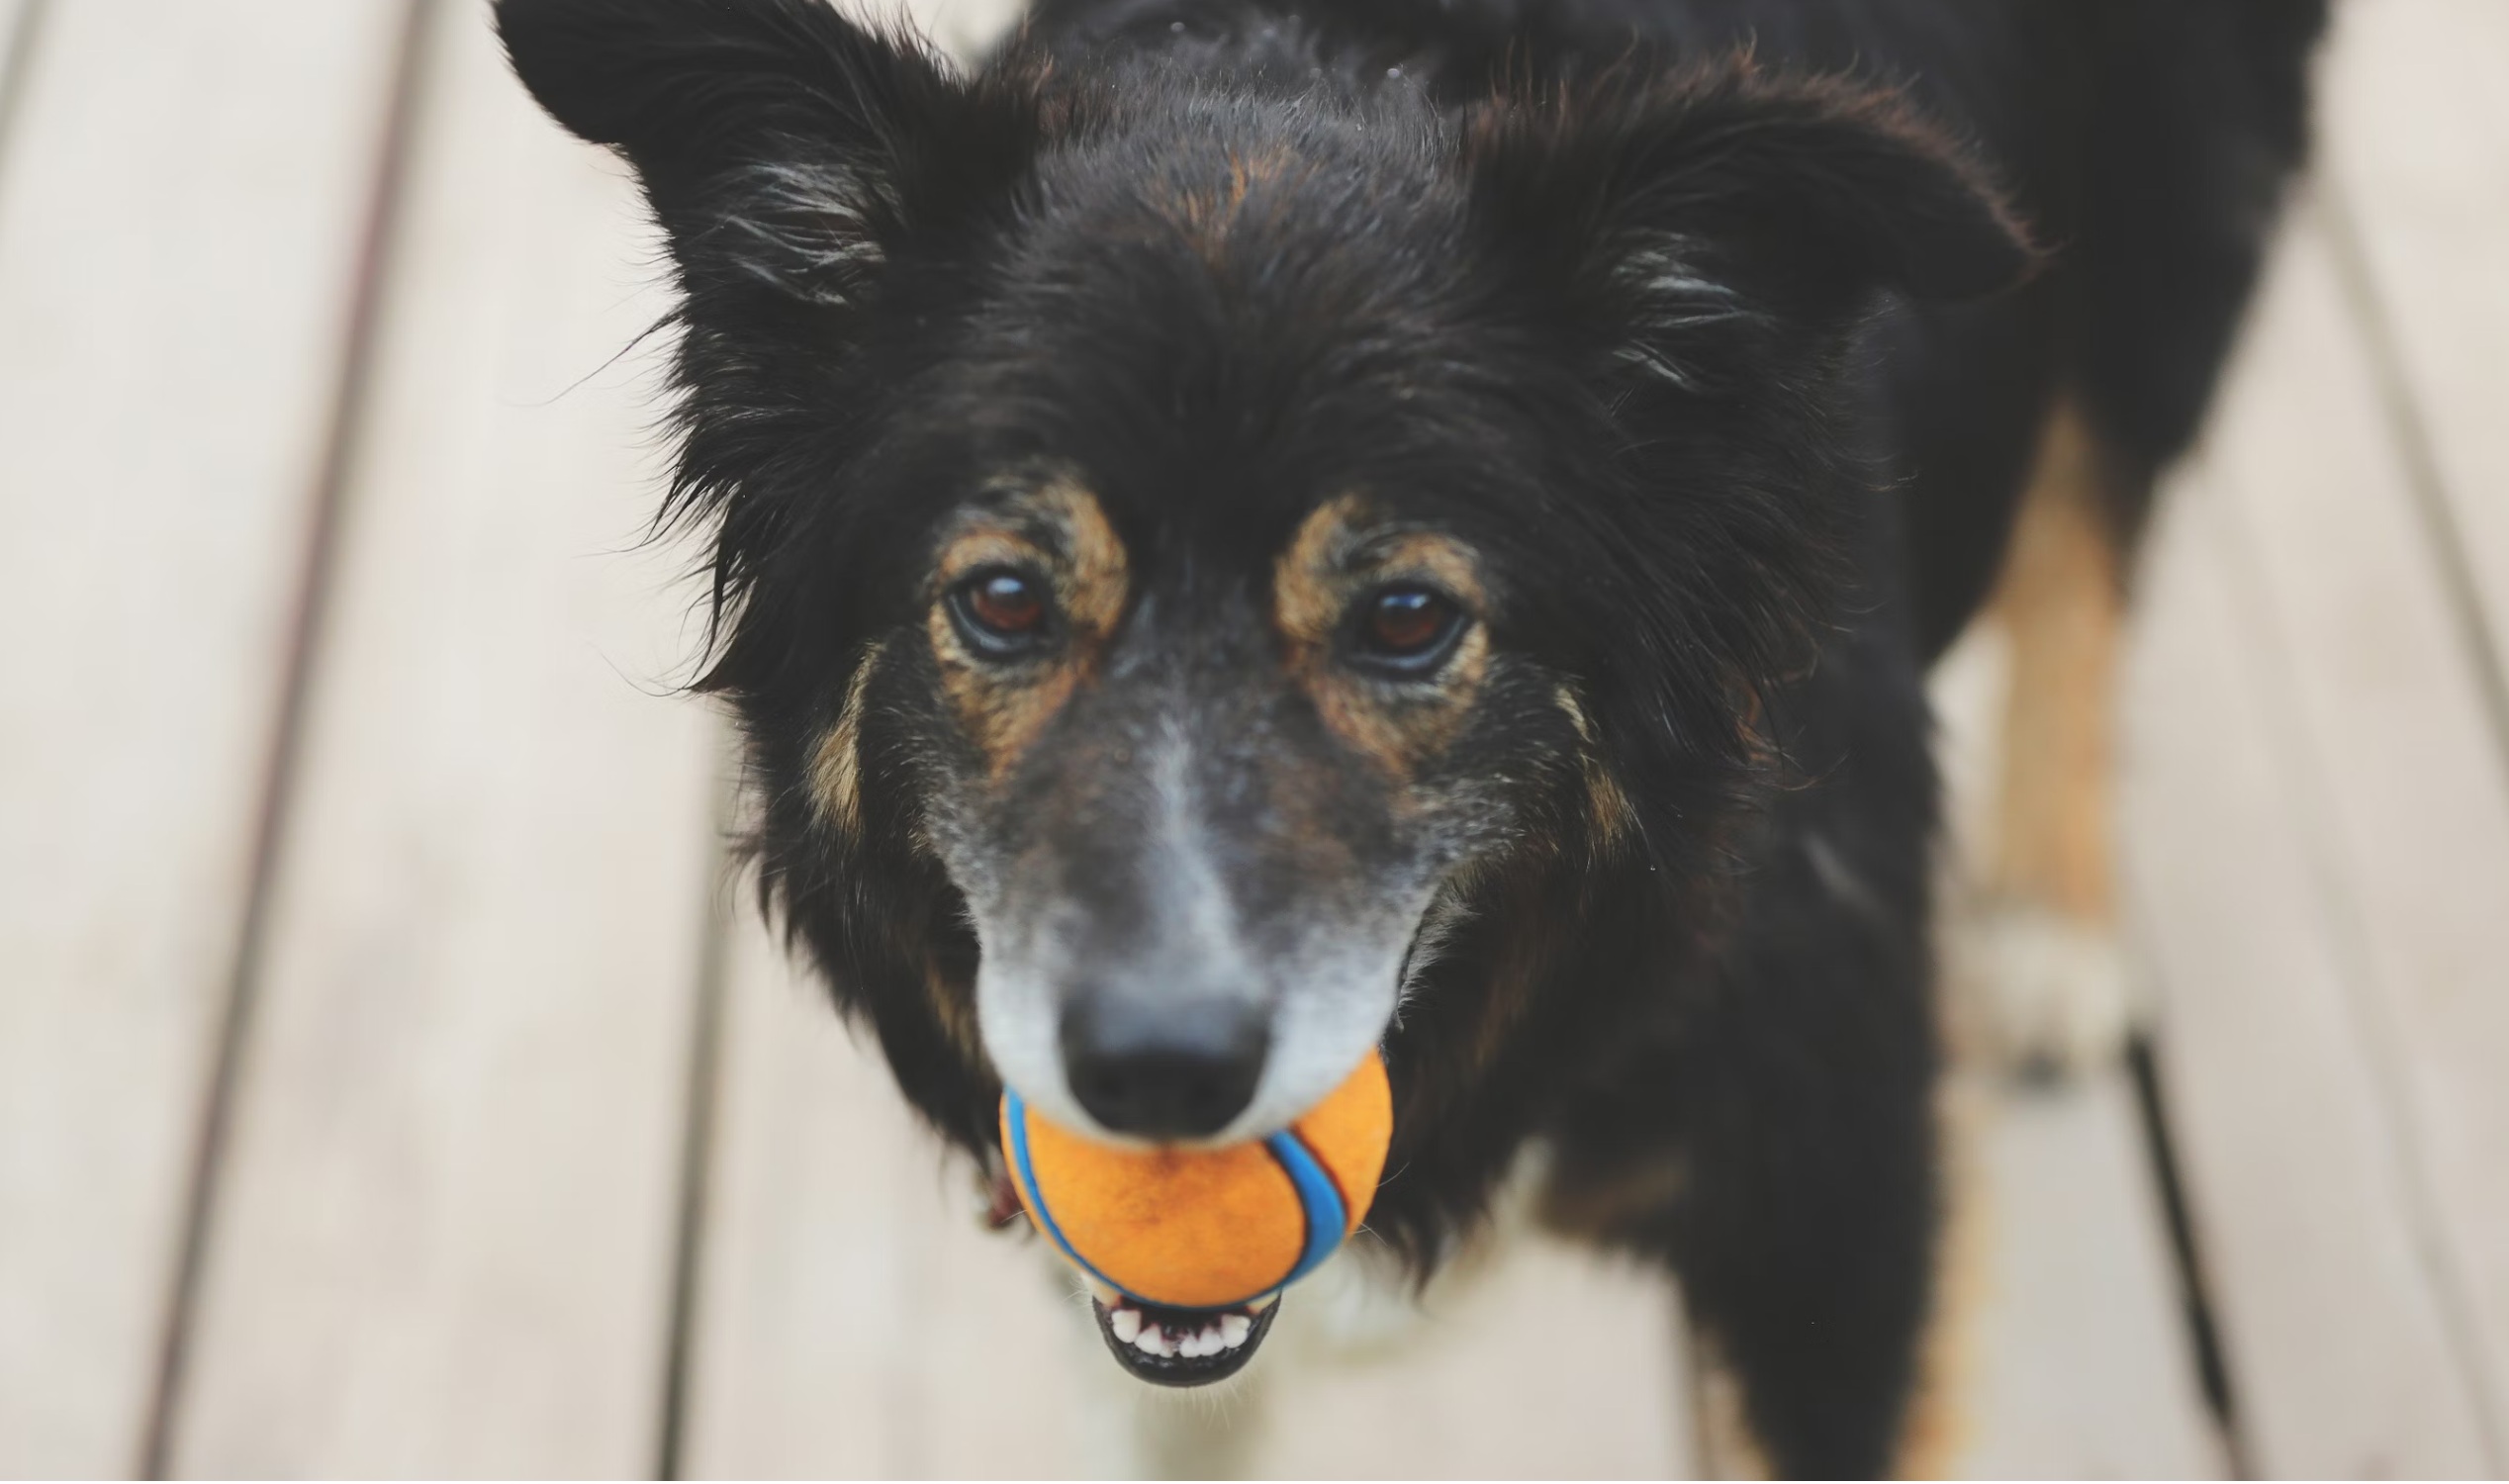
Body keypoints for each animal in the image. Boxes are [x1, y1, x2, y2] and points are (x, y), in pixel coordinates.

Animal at [499, 2, 2318, 1476]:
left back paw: (2052, 923)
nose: (1156, 1074)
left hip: (2171, 207)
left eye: (1405, 620)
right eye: (1004, 600)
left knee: (2094, 519)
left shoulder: (1838, 1220)